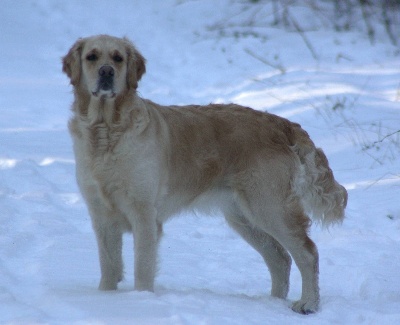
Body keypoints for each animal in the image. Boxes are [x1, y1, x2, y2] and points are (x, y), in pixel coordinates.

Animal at [61, 34, 346, 312]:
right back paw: (273, 303)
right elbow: (109, 267)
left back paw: (308, 303)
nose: (106, 72)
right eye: (92, 56)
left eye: (118, 58)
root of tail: (283, 123)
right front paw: (105, 299)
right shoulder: (101, 215)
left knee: (307, 252)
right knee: (280, 257)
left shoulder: (144, 214)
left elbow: (142, 267)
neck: (106, 130)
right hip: (242, 216)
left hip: (269, 206)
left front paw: (141, 301)